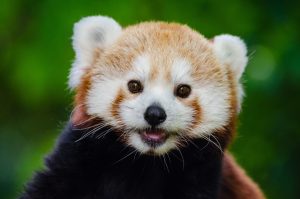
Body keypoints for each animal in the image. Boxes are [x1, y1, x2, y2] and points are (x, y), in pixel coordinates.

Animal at [19, 15, 264, 199]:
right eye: (134, 85)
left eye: (183, 90)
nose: (155, 114)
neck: (143, 162)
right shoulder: (75, 158)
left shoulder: (202, 177)